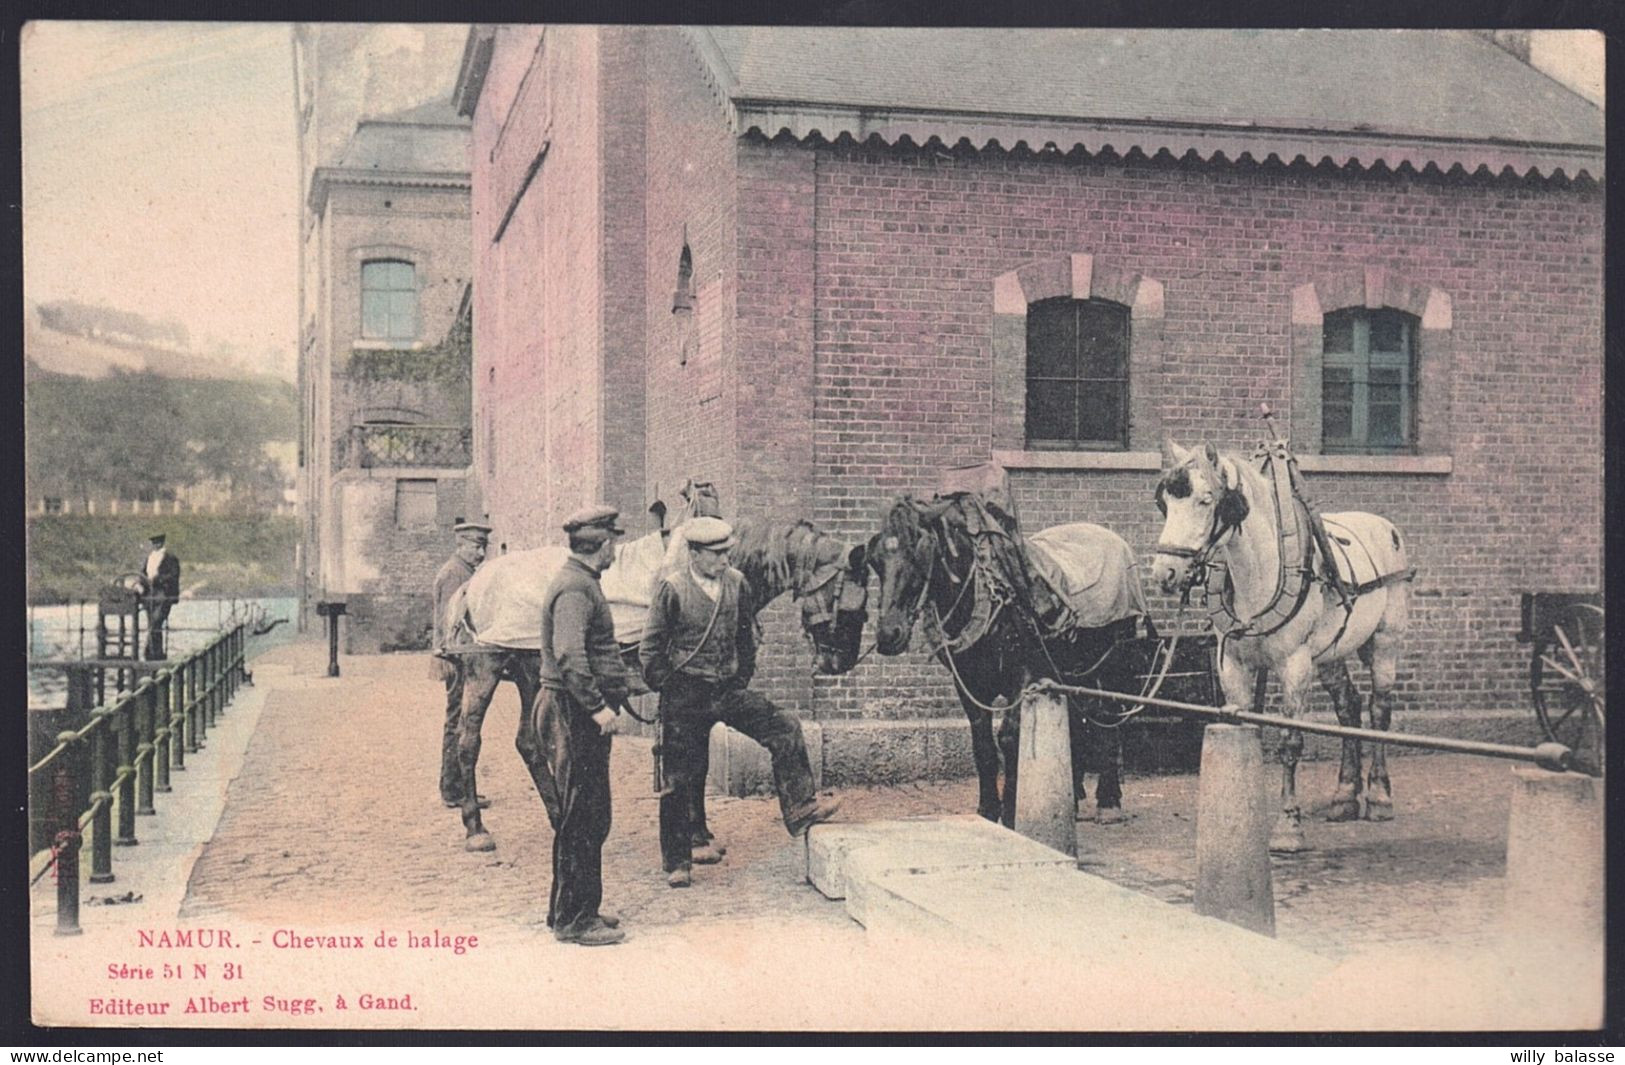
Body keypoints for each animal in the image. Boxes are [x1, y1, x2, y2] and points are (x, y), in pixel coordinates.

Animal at [871, 494, 1150, 829]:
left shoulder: (1024, 676)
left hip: (1110, 667)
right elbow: (983, 746)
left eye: (920, 554)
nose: (888, 633)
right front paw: (988, 810)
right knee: (1078, 724)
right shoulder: (968, 684)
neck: (985, 595)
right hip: (1071, 671)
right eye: (875, 561)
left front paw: (1010, 812)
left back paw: (1108, 801)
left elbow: (1009, 740)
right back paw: (1074, 798)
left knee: (1108, 722)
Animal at [1150, 439, 1417, 852]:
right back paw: (1344, 797)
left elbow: (1290, 743)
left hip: (1384, 643)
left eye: (1206, 500)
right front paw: (1240, 819)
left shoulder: (1295, 665)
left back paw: (1378, 797)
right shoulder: (1233, 665)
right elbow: (1245, 730)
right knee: (1348, 707)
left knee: (1379, 710)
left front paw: (1288, 825)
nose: (1166, 574)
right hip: (1329, 654)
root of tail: (1382, 525)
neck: (1258, 573)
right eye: (1164, 503)